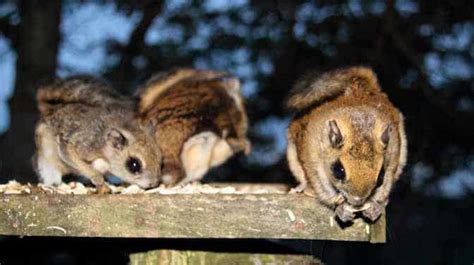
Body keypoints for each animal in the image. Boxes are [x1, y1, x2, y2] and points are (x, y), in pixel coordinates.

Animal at [34, 75, 162, 191]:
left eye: (160, 161)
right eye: (134, 165)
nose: (152, 184)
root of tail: (52, 110)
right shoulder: (81, 145)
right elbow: (74, 158)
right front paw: (98, 178)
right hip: (46, 160)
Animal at [286, 66, 408, 221]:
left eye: (381, 176)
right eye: (339, 171)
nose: (357, 201)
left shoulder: (393, 158)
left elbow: (384, 188)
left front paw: (375, 207)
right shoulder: (313, 161)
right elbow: (324, 189)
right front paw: (340, 208)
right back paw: (301, 188)